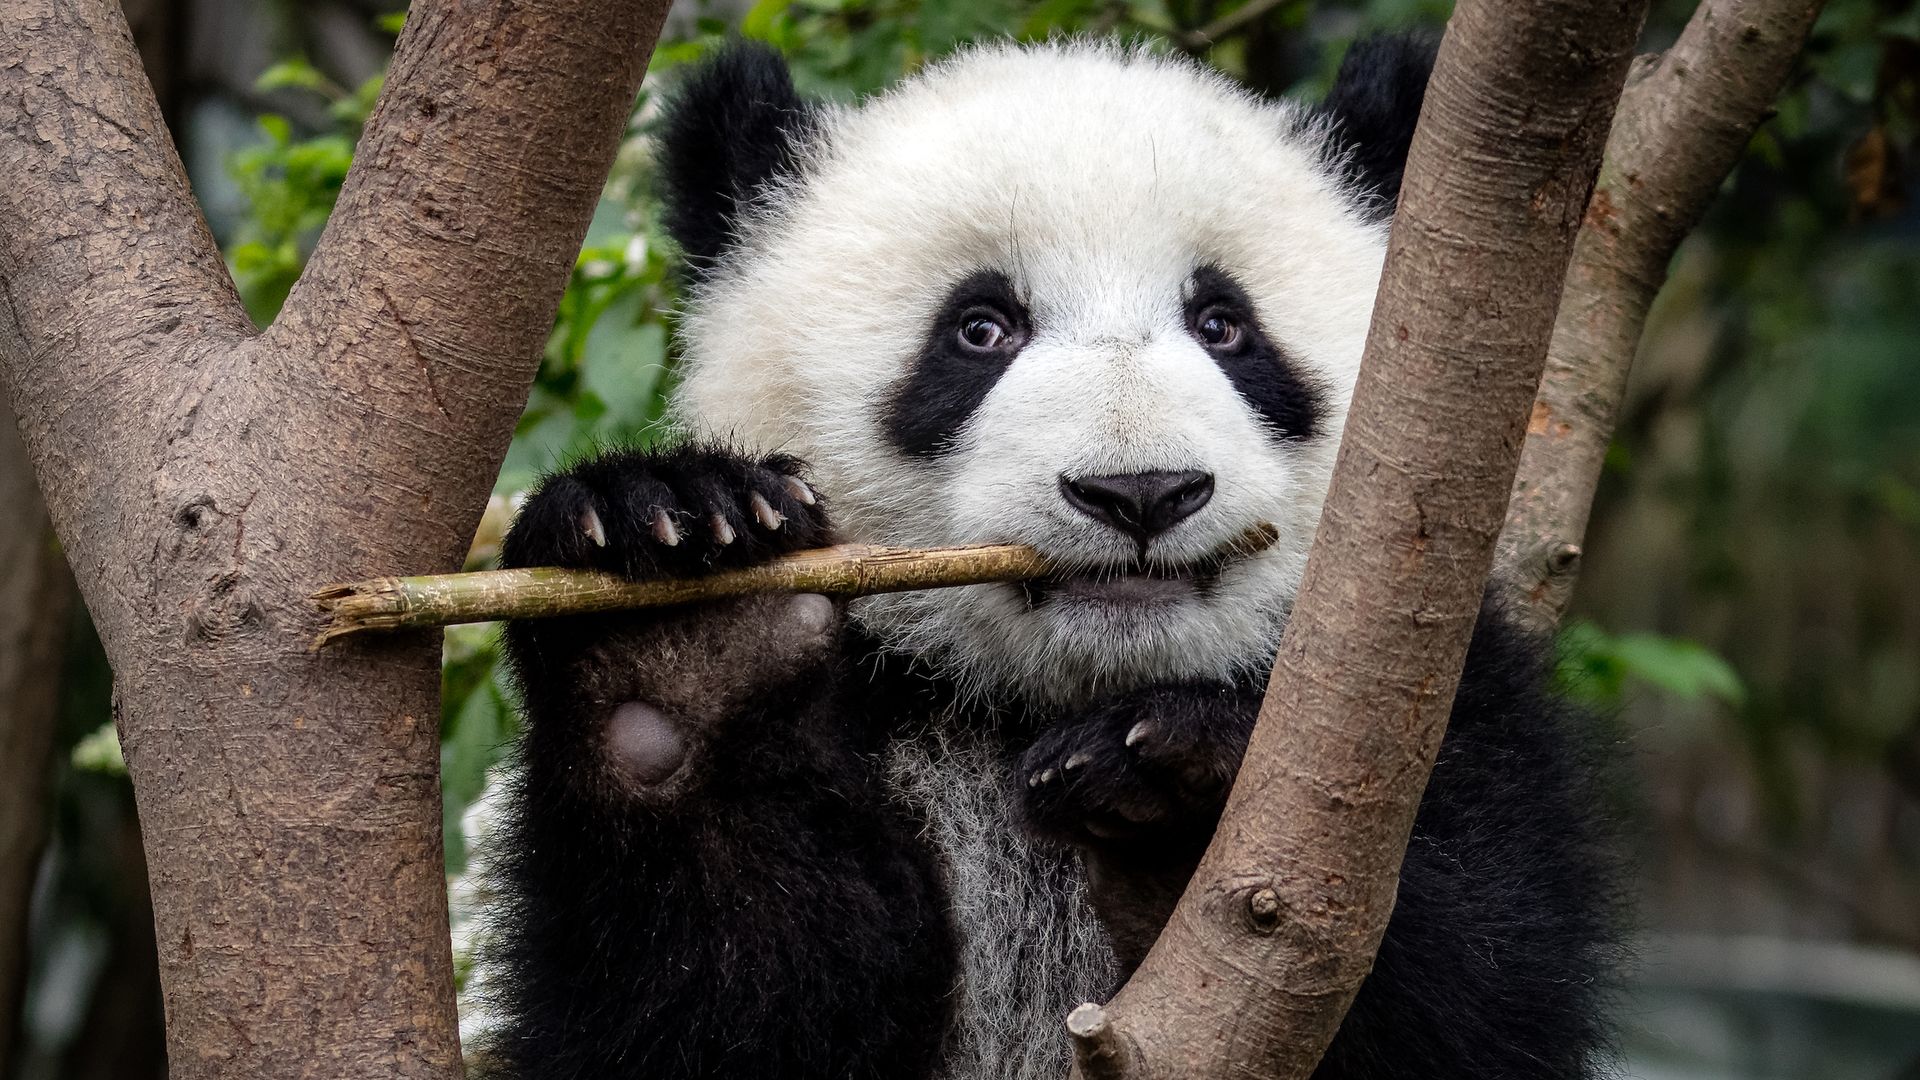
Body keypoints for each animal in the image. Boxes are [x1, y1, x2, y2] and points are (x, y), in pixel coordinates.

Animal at [480, 31, 1620, 1076]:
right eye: (981, 329)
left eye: (1225, 325)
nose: (1141, 492)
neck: (1043, 702)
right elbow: (720, 1002)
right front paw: (690, 631)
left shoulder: (1437, 701)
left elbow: (1477, 986)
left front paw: (1173, 792)